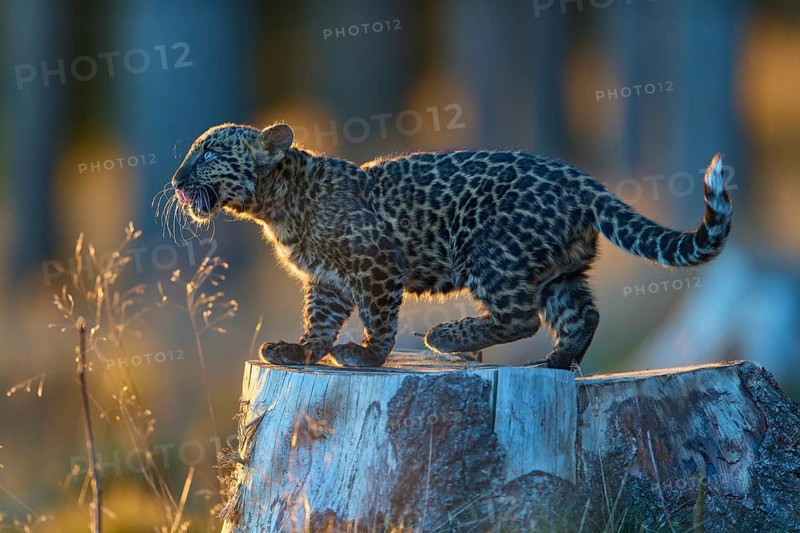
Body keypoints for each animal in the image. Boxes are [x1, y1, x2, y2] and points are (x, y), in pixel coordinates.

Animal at [167, 122, 732, 370]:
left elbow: (379, 318)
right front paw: (301, 350)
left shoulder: (377, 264)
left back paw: (448, 337)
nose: (175, 180)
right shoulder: (327, 279)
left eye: (210, 153)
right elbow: (320, 319)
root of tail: (581, 179)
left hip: (491, 251)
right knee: (580, 316)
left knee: (519, 317)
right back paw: (552, 364)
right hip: (560, 273)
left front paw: (367, 356)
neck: (277, 203)